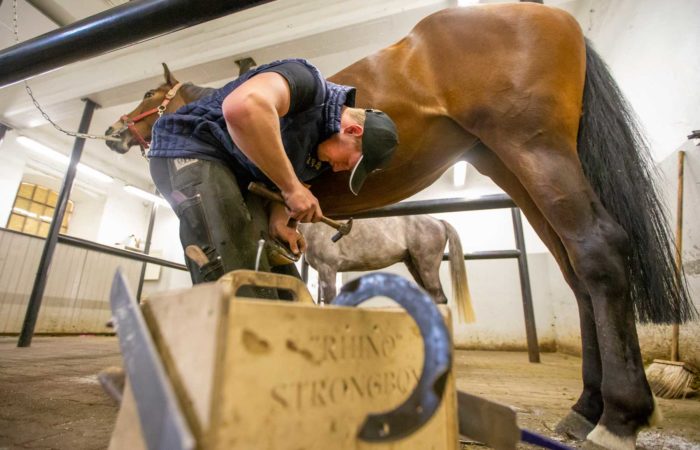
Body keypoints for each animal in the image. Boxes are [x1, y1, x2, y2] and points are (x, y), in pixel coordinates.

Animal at [105, 4, 696, 450]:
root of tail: (556, 17)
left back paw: (618, 418)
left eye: (148, 96)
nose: (113, 131)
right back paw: (585, 407)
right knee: (576, 275)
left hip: (533, 149)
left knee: (599, 251)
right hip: (513, 168)